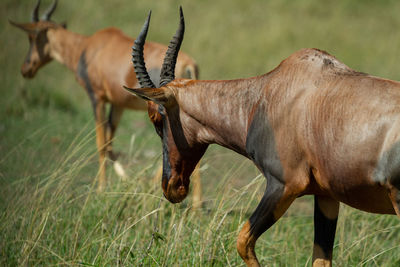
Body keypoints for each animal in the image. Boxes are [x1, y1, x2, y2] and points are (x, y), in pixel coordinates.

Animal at [9, 0, 203, 201]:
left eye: (32, 36)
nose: (26, 69)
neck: (89, 48)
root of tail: (189, 63)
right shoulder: (118, 104)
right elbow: (110, 142)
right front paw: (126, 181)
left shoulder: (97, 98)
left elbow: (101, 143)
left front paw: (101, 189)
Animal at [124, 7, 400, 266]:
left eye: (156, 118)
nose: (171, 186)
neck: (265, 95)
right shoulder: (326, 197)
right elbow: (320, 259)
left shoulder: (284, 184)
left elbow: (243, 241)